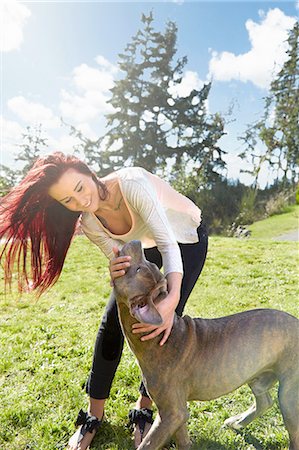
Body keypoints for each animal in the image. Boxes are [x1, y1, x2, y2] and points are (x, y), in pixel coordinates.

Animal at [113, 241, 299, 448]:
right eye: (146, 265)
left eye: (140, 267)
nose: (137, 242)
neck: (161, 337)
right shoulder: (177, 413)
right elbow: (183, 439)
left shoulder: (172, 413)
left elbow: (149, 443)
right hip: (257, 375)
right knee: (264, 400)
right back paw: (236, 422)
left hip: (289, 394)